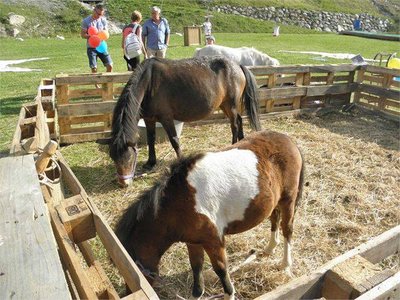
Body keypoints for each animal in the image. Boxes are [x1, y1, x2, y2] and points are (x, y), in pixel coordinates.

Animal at [108, 56, 260, 186]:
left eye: (129, 158)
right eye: (113, 158)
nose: (123, 183)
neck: (149, 82)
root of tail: (238, 66)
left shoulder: (166, 118)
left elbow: (174, 140)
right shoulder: (149, 119)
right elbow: (151, 139)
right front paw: (151, 162)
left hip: (231, 105)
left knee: (234, 125)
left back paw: (233, 145)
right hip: (225, 105)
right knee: (239, 121)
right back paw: (242, 141)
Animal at [114, 131, 304, 300]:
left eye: (131, 273)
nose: (127, 293)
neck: (179, 202)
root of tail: (289, 140)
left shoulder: (214, 241)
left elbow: (220, 269)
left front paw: (229, 295)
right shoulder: (193, 241)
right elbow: (196, 269)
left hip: (288, 200)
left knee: (287, 229)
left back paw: (285, 265)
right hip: (275, 202)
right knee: (274, 219)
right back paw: (270, 248)